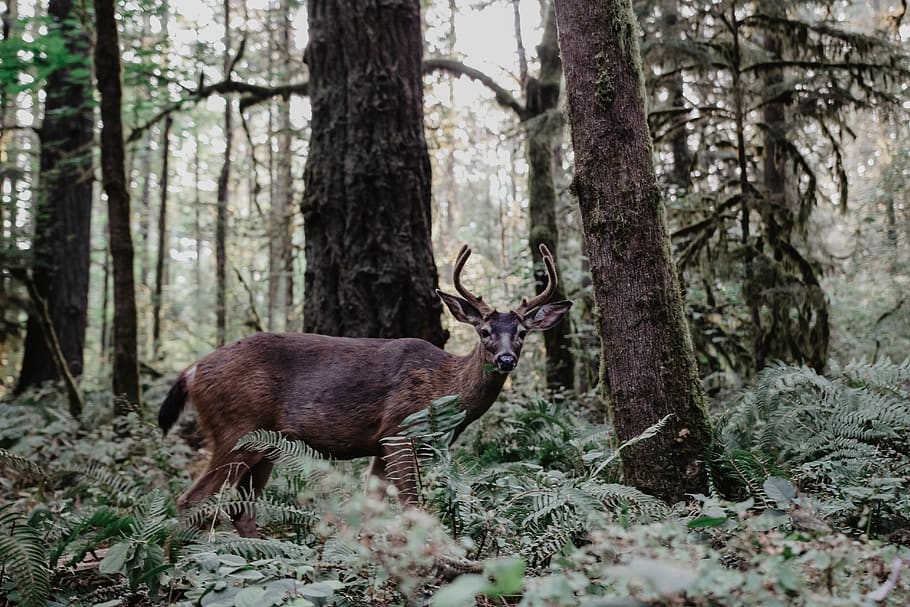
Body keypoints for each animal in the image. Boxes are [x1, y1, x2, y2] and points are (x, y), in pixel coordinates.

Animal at [158, 244, 572, 537]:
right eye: (484, 332)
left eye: (522, 333)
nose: (506, 359)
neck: (444, 387)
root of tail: (193, 370)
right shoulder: (399, 431)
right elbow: (412, 506)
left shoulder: (382, 443)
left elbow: (372, 508)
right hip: (236, 428)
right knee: (190, 500)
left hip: (265, 445)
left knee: (240, 510)